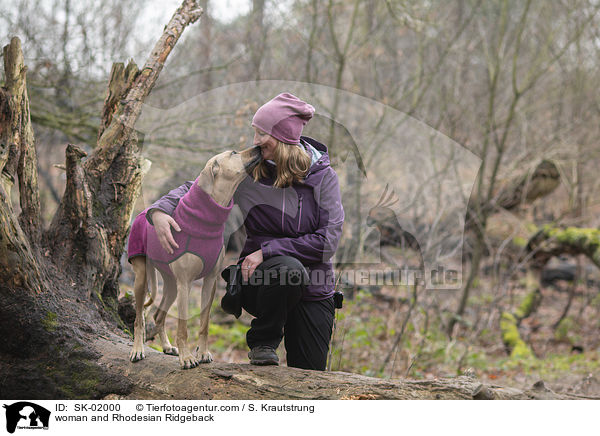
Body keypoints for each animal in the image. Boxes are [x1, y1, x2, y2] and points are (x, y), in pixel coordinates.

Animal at [127, 146, 262, 368]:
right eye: (234, 153)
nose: (259, 147)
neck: (207, 220)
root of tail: (142, 213)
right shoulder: (185, 284)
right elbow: (182, 327)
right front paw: (187, 357)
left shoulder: (209, 282)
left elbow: (204, 324)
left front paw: (203, 353)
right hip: (142, 278)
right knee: (139, 317)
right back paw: (137, 349)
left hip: (171, 284)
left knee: (158, 315)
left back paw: (167, 346)